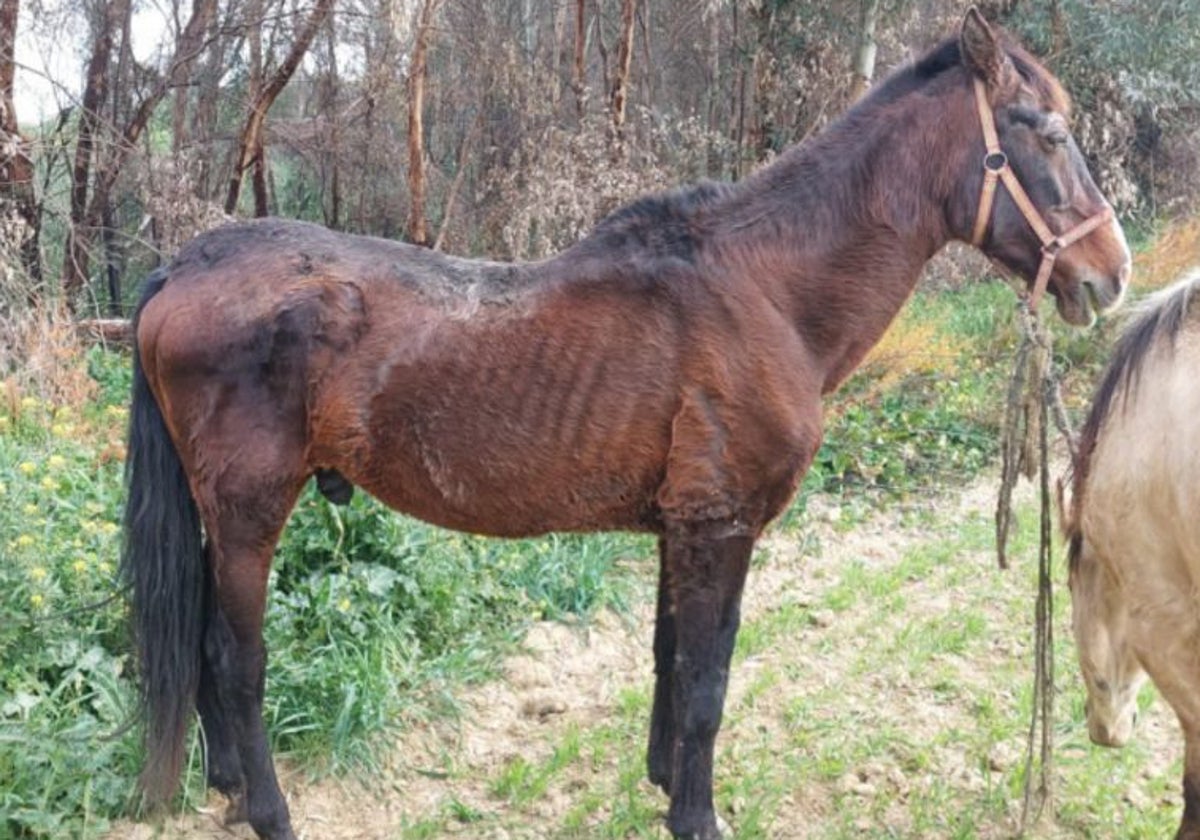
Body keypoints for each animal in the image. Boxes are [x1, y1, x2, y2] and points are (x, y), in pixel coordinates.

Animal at [126, 8, 1128, 840]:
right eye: (1047, 131)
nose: (1110, 275)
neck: (763, 293)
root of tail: (186, 265)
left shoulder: (680, 525)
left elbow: (670, 660)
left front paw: (664, 783)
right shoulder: (720, 526)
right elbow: (707, 681)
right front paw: (698, 817)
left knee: (210, 655)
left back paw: (226, 789)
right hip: (252, 512)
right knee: (237, 660)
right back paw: (269, 813)